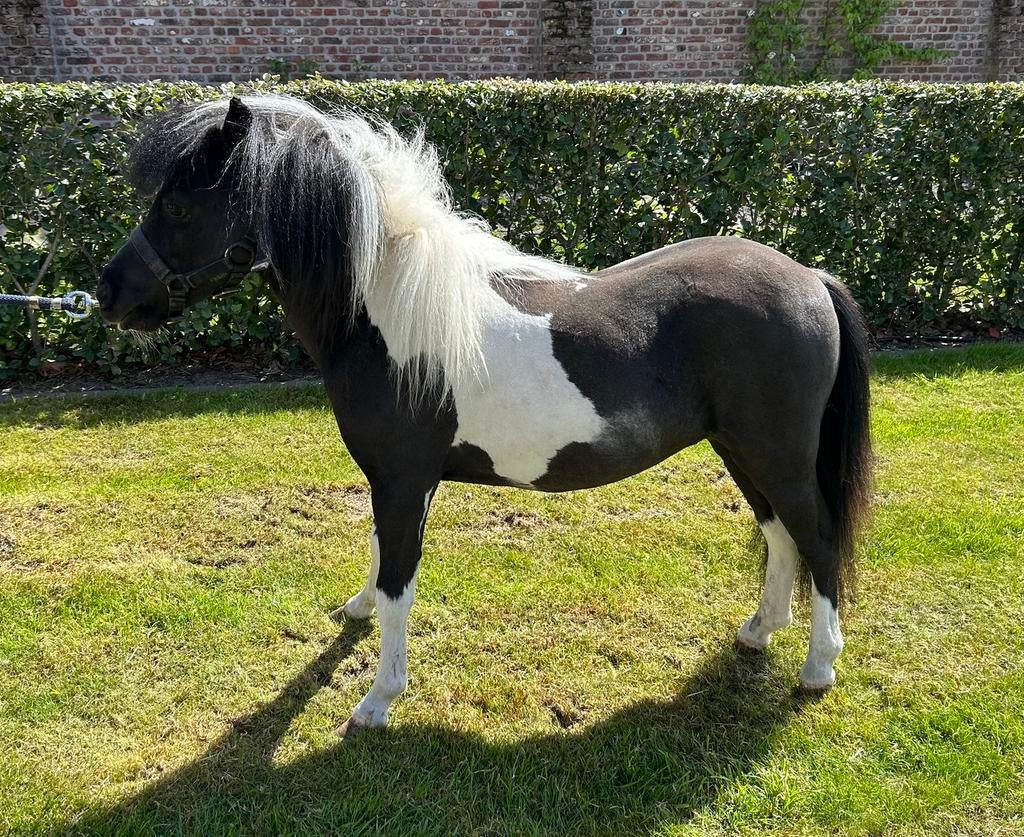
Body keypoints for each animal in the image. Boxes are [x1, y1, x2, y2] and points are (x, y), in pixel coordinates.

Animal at [97, 95, 872, 735]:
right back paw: (758, 631)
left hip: (778, 455)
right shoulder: (395, 482)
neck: (389, 311)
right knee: (779, 535)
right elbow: (379, 558)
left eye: (181, 206)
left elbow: (399, 582)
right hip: (741, 452)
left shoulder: (405, 480)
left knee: (818, 538)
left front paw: (378, 700)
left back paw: (818, 668)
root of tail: (810, 279)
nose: (108, 294)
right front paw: (355, 613)